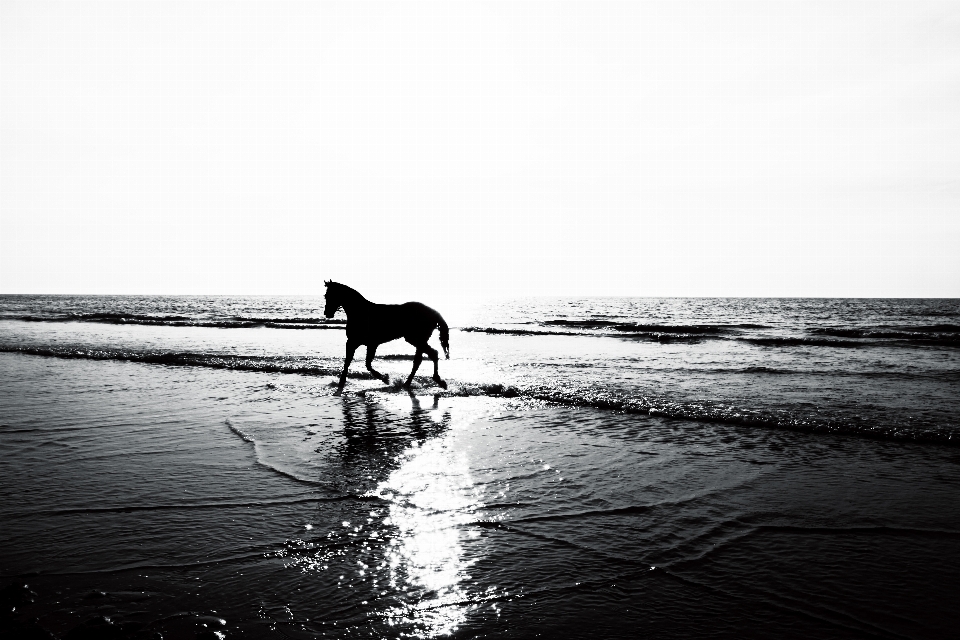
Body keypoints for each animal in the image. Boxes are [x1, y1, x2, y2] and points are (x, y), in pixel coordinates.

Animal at [324, 282, 452, 396]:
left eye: (330, 295)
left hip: (416, 339)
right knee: (421, 359)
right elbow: (352, 362)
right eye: (326, 296)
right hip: (418, 340)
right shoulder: (356, 343)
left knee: (432, 354)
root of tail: (433, 312)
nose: (327, 313)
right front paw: (340, 386)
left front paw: (385, 379)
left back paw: (437, 381)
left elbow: (364, 364)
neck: (362, 312)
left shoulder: (365, 343)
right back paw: (410, 383)